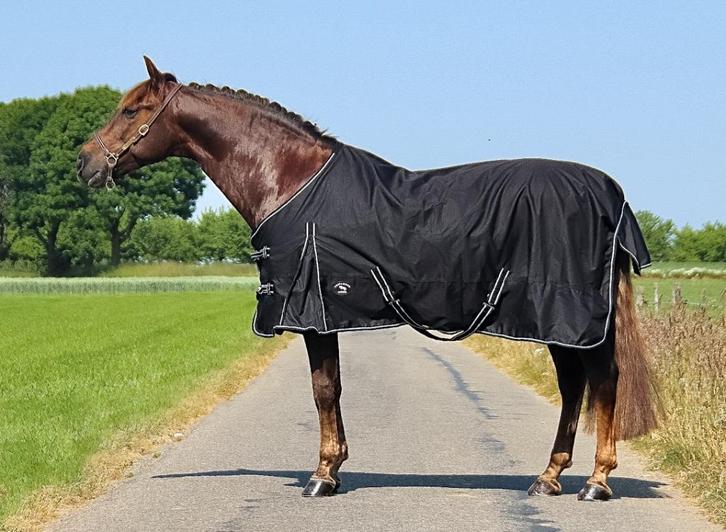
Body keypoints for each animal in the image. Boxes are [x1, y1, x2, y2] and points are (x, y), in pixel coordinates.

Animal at [77, 56, 660, 501]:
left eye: (132, 109)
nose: (84, 163)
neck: (290, 179)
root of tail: (609, 194)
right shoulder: (324, 315)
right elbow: (331, 388)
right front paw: (333, 469)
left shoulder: (313, 313)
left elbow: (324, 389)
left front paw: (321, 476)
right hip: (558, 325)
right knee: (573, 386)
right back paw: (549, 477)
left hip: (571, 318)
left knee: (602, 382)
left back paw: (596, 482)